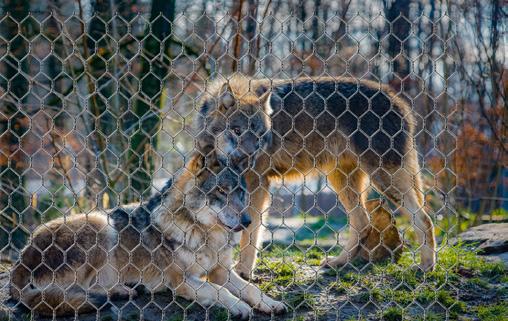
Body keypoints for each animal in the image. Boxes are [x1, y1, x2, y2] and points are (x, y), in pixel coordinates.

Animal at [9, 152, 286, 318]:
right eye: (221, 191)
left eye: (240, 192)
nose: (247, 221)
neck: (204, 233)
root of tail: (19, 262)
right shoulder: (182, 281)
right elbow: (219, 291)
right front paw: (240, 307)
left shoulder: (221, 271)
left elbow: (251, 288)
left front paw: (270, 303)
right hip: (100, 222)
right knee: (77, 290)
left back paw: (126, 290)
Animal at [195, 74, 436, 276]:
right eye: (237, 131)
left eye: (260, 136)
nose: (249, 160)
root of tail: (398, 101)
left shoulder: (257, 183)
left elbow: (251, 231)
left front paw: (243, 272)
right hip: (342, 180)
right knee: (363, 221)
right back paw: (338, 263)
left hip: (384, 179)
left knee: (424, 218)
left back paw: (426, 266)